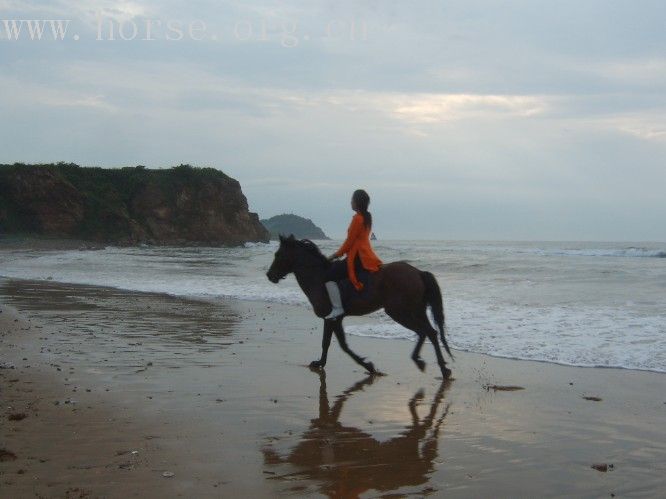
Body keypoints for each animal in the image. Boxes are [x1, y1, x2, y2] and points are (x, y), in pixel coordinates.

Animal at [264, 234, 452, 378]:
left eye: (278, 254)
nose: (269, 275)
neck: (318, 277)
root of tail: (418, 272)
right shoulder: (334, 318)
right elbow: (333, 343)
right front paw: (322, 363)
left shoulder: (332, 318)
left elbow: (337, 344)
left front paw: (368, 366)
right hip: (416, 311)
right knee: (431, 332)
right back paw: (443, 369)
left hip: (400, 312)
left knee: (424, 332)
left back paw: (421, 362)